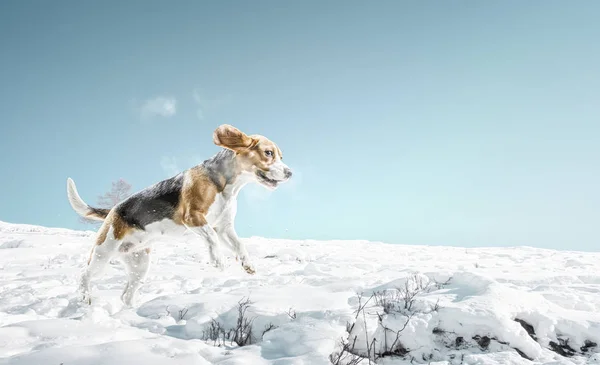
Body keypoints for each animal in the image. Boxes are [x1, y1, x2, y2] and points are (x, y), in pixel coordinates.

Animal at [67, 124, 292, 304]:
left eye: (280, 156)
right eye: (268, 153)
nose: (290, 173)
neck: (225, 183)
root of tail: (113, 210)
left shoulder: (224, 227)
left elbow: (239, 244)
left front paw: (248, 264)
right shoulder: (193, 217)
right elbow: (211, 237)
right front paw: (218, 260)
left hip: (139, 264)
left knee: (126, 295)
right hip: (103, 253)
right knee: (84, 275)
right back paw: (85, 298)